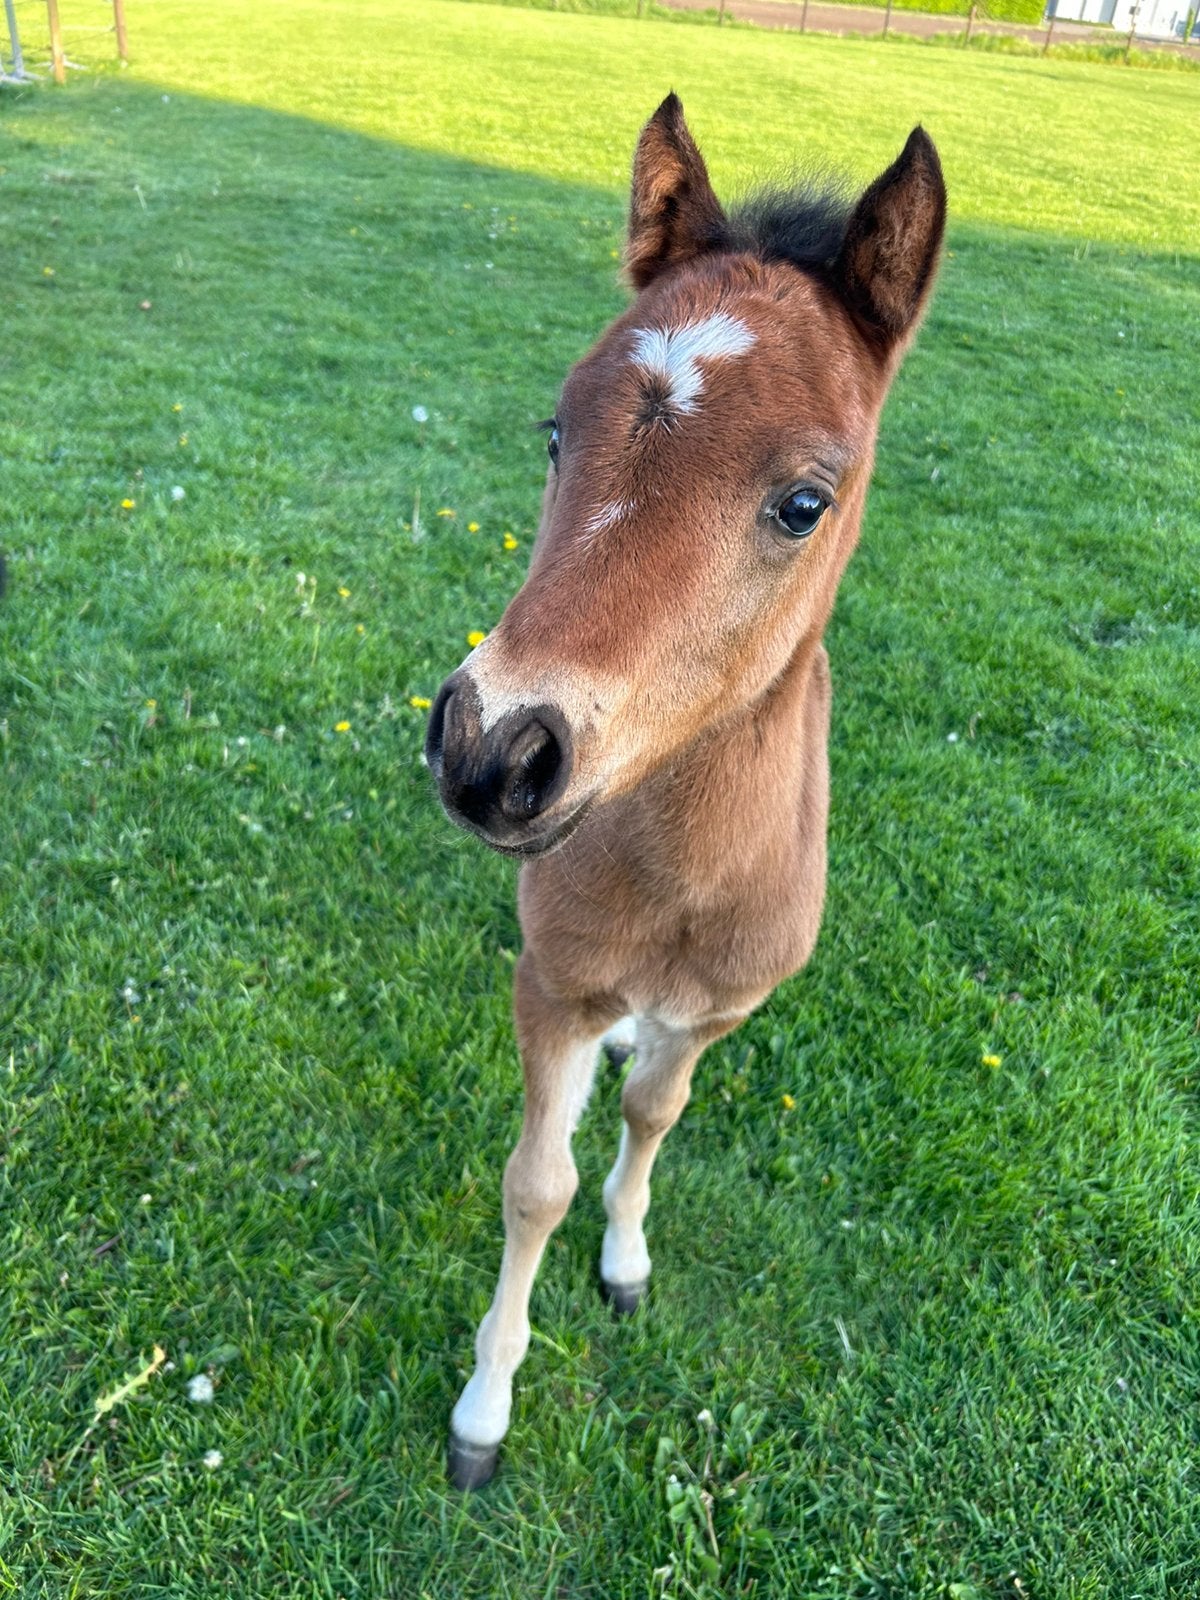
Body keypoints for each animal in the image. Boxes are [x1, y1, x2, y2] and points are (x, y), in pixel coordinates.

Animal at [425, 94, 946, 1489]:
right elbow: (535, 1181)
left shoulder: (723, 1007)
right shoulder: (553, 981)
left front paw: (625, 1262)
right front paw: (485, 1411)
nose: (493, 748)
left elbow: (656, 1112)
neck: (678, 883)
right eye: (557, 433)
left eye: (805, 501)